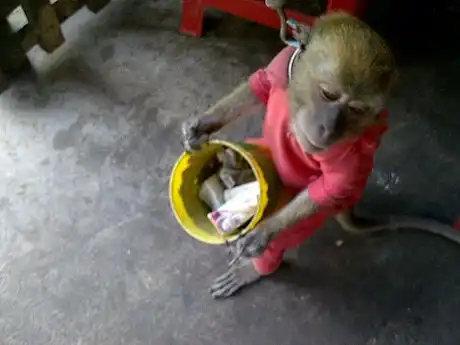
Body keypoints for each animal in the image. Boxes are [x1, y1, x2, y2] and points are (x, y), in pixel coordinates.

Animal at [180, 11, 460, 298]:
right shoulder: (284, 62)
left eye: (356, 109)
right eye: (329, 94)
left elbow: (332, 185)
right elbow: (260, 84)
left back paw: (258, 266)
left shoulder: (348, 148)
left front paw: (263, 233)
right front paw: (202, 126)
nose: (329, 128)